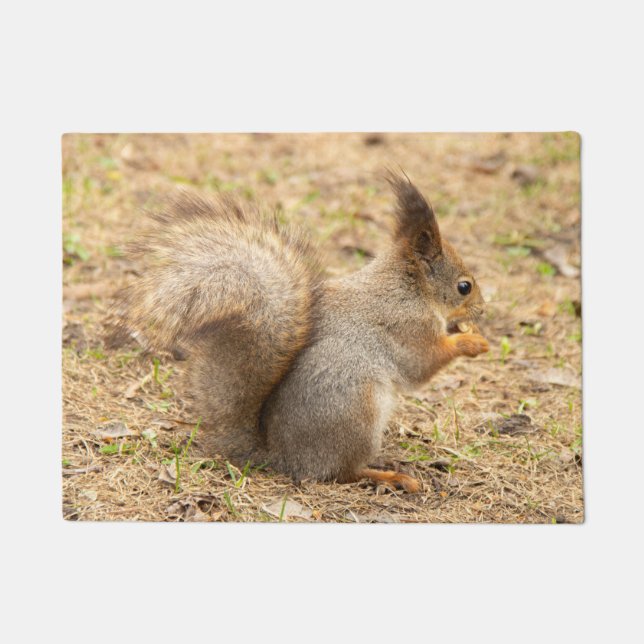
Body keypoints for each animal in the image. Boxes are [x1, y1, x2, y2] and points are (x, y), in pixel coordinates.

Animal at [110, 171, 489, 493]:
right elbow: (422, 365)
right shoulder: (407, 326)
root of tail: (283, 458)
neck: (408, 288)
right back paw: (390, 476)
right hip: (356, 411)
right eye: (464, 286)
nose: (482, 311)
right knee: (342, 473)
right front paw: (472, 341)